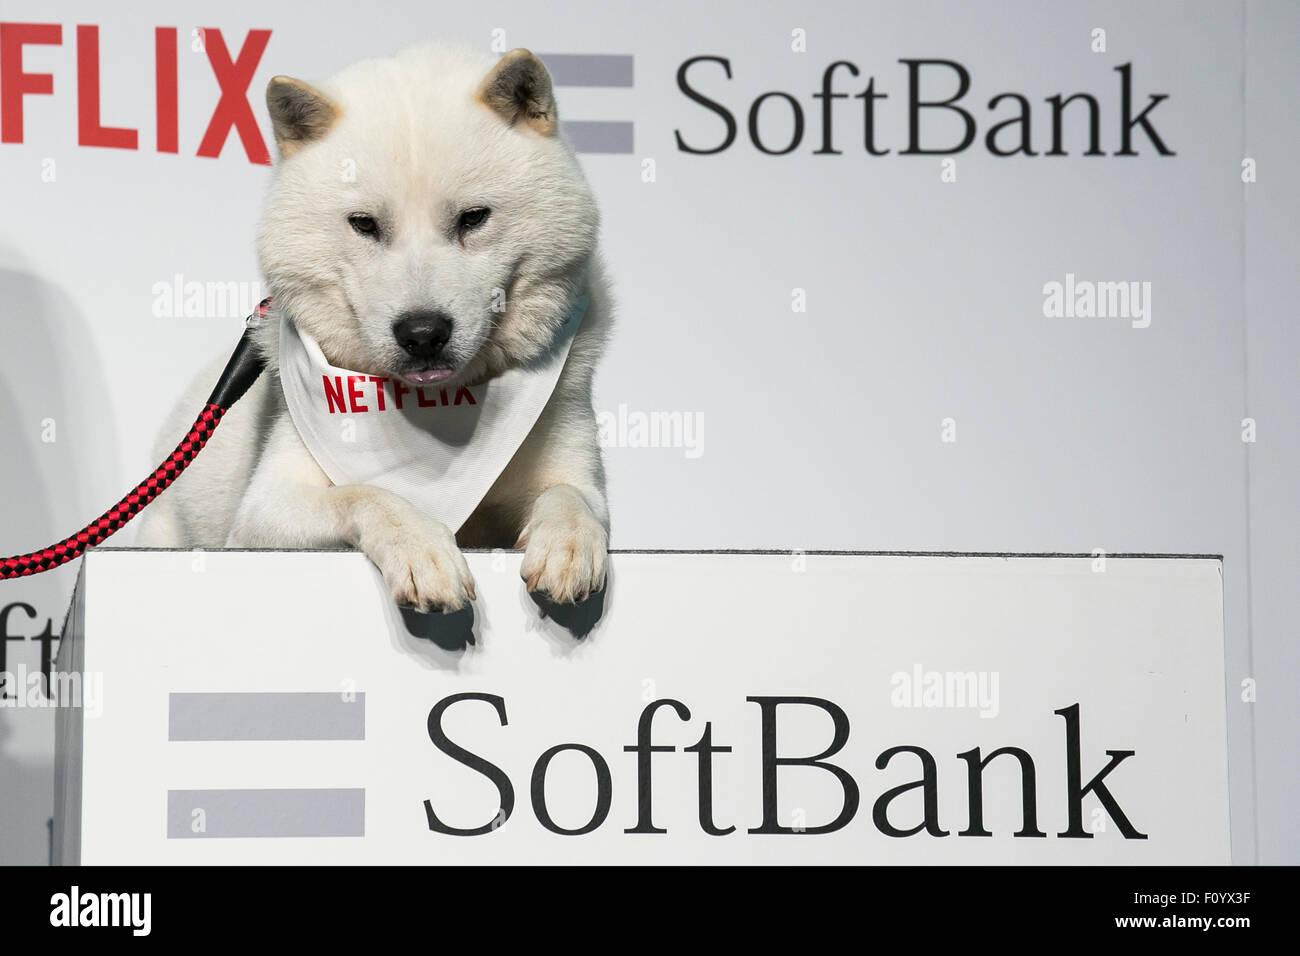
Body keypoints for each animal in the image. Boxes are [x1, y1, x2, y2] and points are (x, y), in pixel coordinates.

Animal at [134, 42, 611, 613]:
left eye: (474, 218)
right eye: (364, 224)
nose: (423, 333)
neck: (437, 411)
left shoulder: (576, 473)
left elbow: (571, 497)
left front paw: (568, 543)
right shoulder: (262, 513)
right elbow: (369, 493)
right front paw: (422, 548)